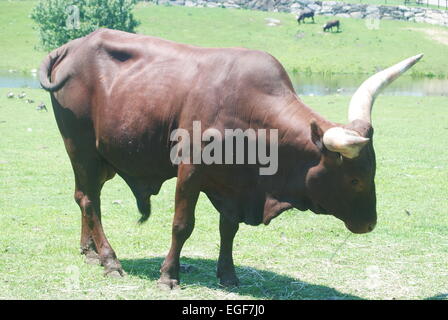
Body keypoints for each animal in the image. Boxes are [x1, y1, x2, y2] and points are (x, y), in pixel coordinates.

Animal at [39, 28, 424, 288]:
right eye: (355, 178)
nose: (370, 223)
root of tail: (70, 46)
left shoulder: (235, 185)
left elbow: (229, 229)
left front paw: (228, 275)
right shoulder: (190, 171)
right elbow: (183, 225)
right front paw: (169, 275)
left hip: (100, 159)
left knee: (85, 196)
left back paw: (89, 251)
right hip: (80, 147)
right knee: (90, 201)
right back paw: (110, 260)